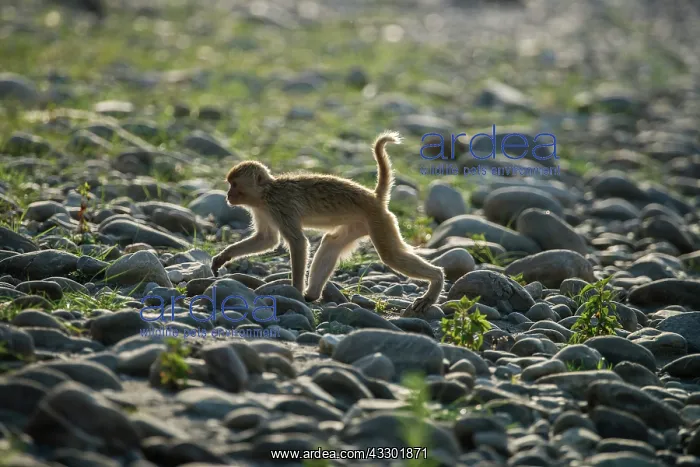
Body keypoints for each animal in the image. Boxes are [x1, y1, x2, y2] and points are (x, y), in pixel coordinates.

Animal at [211, 131, 445, 316]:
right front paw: (224, 257)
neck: (266, 194)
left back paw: (436, 280)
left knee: (390, 255)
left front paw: (295, 290)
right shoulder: (262, 210)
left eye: (234, 185)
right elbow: (266, 240)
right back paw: (312, 295)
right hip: (360, 222)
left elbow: (298, 243)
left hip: (379, 220)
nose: (228, 195)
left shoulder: (280, 207)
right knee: (332, 241)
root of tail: (374, 197)